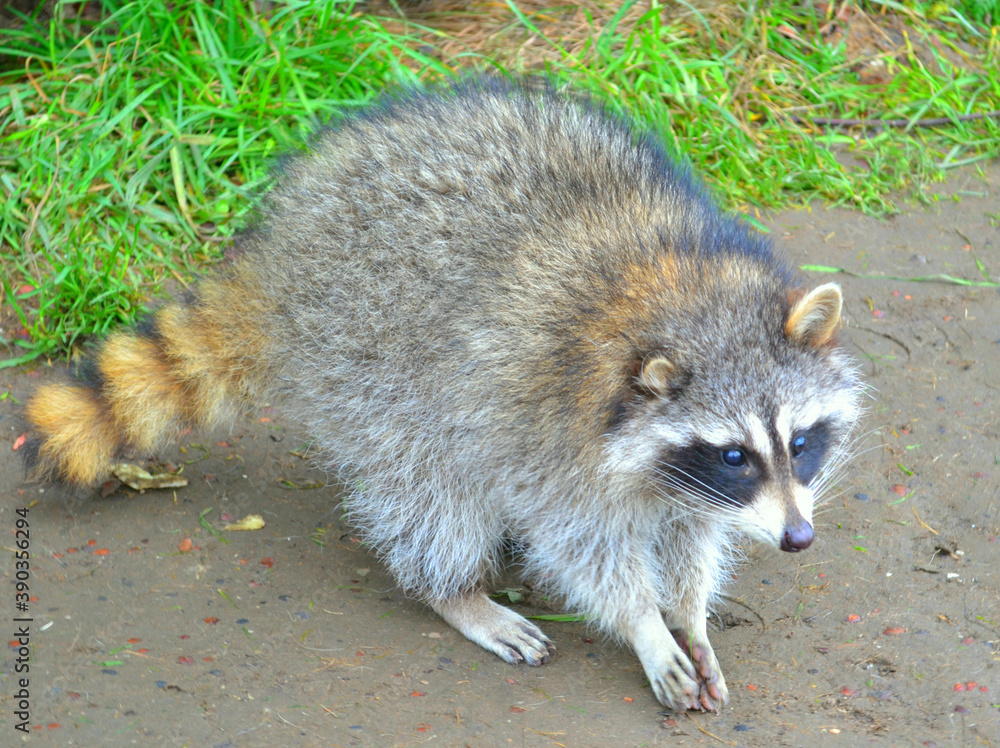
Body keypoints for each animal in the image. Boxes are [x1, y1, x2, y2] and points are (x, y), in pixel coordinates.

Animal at [22, 78, 862, 712]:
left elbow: (690, 532)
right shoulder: (548, 432)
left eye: (799, 443)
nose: (797, 539)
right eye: (734, 453)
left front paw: (689, 613)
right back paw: (453, 589)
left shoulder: (678, 474)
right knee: (430, 488)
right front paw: (644, 624)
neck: (686, 296)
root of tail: (283, 242)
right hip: (369, 356)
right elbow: (583, 545)